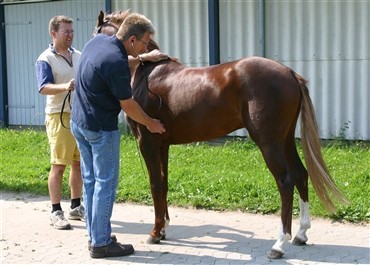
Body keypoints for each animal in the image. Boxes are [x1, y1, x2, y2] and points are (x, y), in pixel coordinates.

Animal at [94, 10, 348, 258]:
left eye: (97, 32)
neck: (148, 74)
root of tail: (289, 73)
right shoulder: (163, 144)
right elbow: (164, 183)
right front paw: (163, 229)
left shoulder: (147, 142)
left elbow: (155, 184)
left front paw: (155, 233)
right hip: (285, 141)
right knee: (301, 174)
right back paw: (301, 234)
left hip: (269, 143)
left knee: (285, 181)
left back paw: (279, 245)